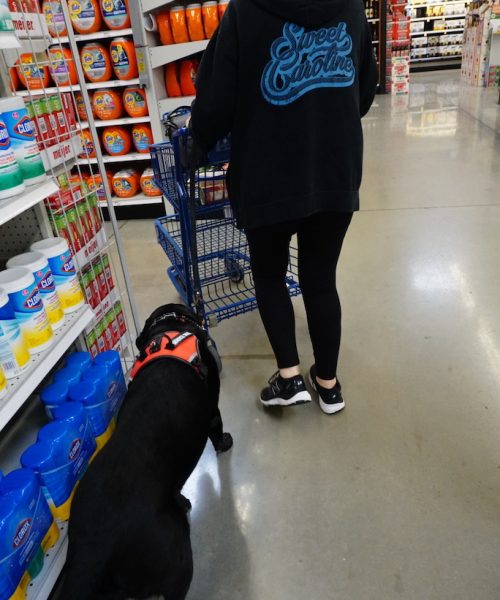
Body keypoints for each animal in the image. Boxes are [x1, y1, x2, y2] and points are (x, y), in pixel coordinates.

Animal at [61, 304, 234, 600]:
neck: (170, 329)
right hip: (177, 556)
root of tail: (93, 546)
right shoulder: (212, 411)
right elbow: (217, 430)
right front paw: (225, 442)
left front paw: (181, 498)